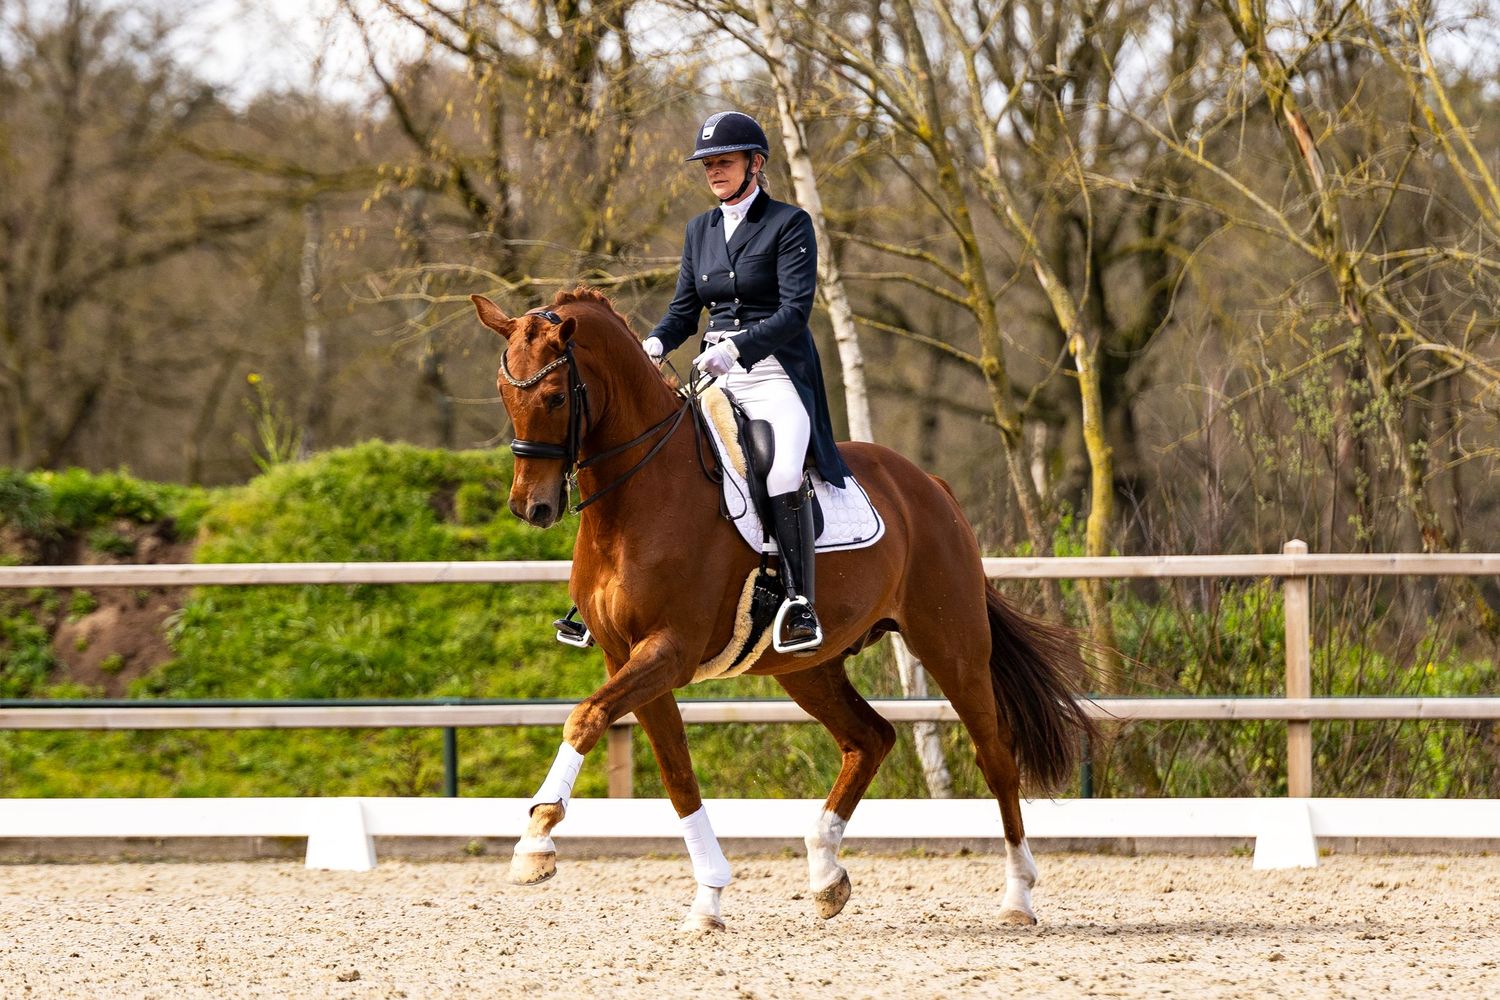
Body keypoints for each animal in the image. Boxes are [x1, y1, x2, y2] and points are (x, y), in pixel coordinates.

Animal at [471, 287, 1093, 930]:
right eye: (504, 393)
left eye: (554, 395)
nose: (531, 507)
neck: (640, 496)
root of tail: (929, 484)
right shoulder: (627, 659)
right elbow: (677, 774)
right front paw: (708, 899)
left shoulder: (668, 651)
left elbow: (586, 717)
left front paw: (536, 842)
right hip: (809, 666)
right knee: (870, 739)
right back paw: (825, 874)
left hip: (952, 645)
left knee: (995, 755)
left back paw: (1017, 897)